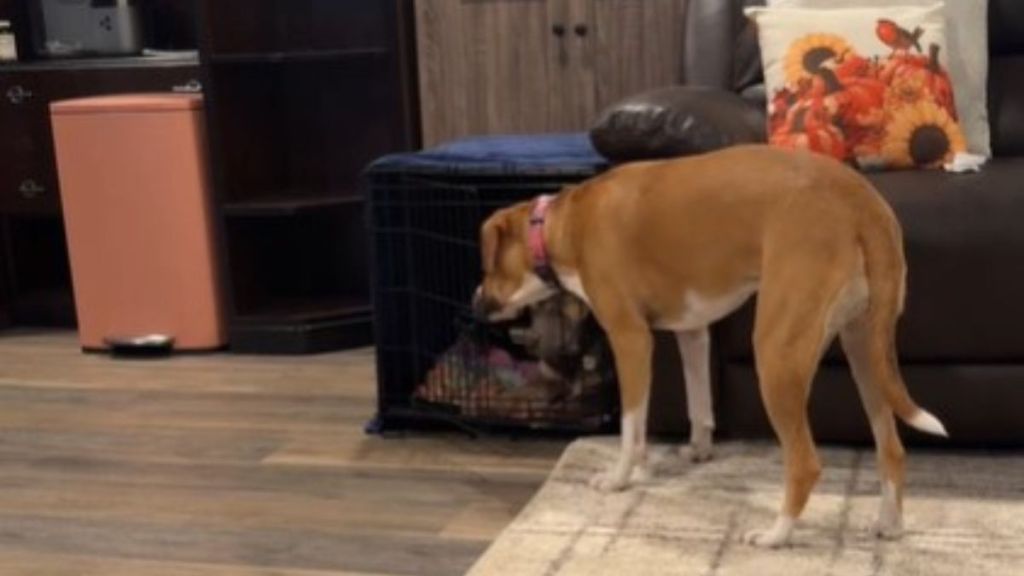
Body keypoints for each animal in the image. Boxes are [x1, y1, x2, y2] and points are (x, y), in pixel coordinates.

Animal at [475, 144, 946, 545]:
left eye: (487, 265)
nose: (475, 303)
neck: (562, 225)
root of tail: (861, 201)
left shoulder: (631, 339)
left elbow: (631, 426)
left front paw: (620, 478)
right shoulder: (693, 331)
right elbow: (699, 403)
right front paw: (698, 450)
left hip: (777, 352)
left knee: (805, 463)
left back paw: (776, 536)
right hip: (865, 349)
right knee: (891, 448)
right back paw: (889, 524)